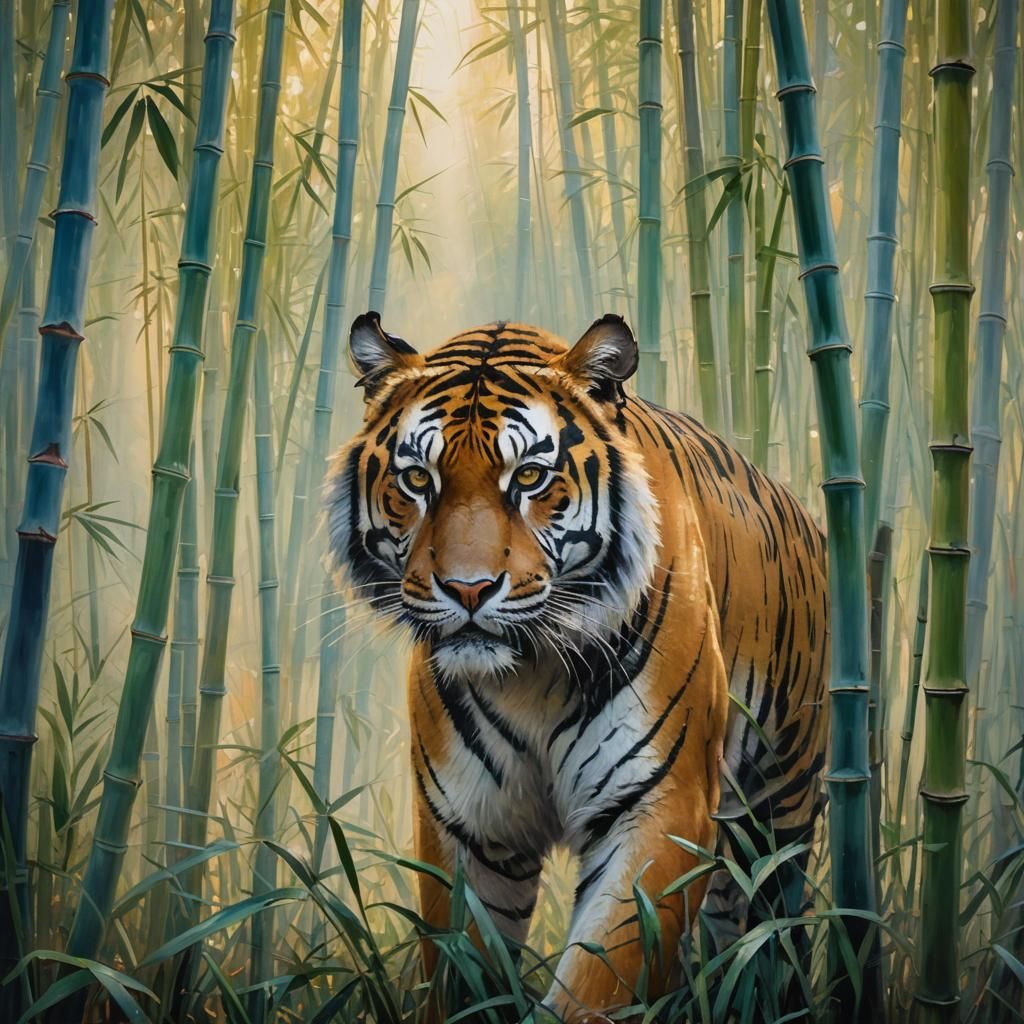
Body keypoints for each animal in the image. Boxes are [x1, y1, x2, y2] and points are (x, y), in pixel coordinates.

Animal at [324, 312, 829, 1021]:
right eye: (418, 480)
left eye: (529, 478)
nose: (469, 589)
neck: (528, 674)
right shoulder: (466, 824)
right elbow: (464, 974)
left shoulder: (659, 810)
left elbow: (595, 987)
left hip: (777, 806)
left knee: (768, 938)